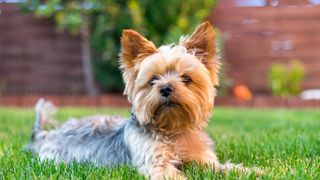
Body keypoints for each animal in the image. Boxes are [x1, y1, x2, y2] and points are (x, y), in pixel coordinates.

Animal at [24, 21, 260, 179]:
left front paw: (250, 170)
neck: (173, 129)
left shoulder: (202, 159)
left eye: (186, 78)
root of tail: (46, 135)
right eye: (153, 79)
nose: (165, 88)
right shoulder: (156, 164)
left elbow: (221, 167)